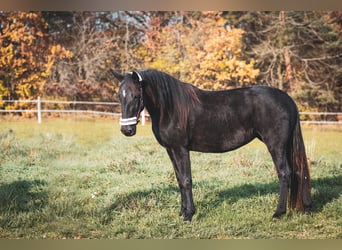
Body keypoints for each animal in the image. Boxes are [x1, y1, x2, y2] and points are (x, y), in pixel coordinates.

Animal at [112, 68, 312, 221]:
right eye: (120, 96)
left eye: (136, 96)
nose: (127, 130)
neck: (169, 108)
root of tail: (288, 100)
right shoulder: (171, 150)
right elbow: (179, 180)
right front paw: (182, 212)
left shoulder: (180, 149)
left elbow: (186, 180)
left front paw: (189, 215)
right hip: (286, 146)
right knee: (298, 171)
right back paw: (304, 208)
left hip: (276, 145)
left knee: (284, 174)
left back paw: (278, 213)